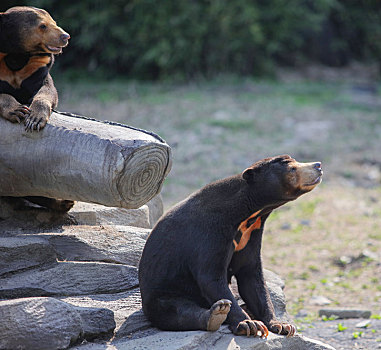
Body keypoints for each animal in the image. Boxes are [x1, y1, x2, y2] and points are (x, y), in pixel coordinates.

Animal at [138, 154, 322, 338]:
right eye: (292, 168)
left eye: (296, 162)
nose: (318, 165)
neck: (249, 216)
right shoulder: (210, 233)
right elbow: (211, 277)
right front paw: (249, 324)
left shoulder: (249, 237)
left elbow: (252, 278)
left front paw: (282, 325)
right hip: (163, 294)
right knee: (180, 311)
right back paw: (216, 314)